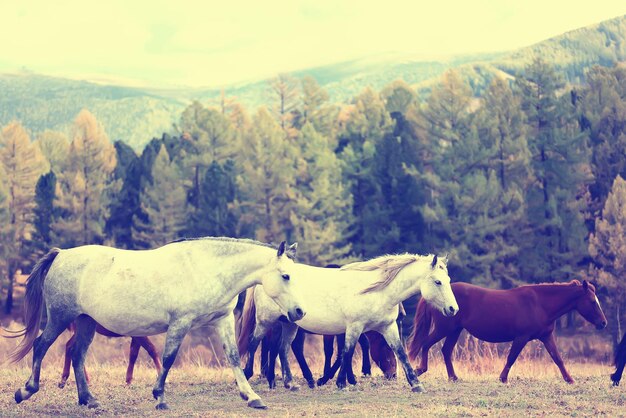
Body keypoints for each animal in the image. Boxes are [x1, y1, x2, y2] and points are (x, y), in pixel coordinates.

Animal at [7, 237, 304, 410]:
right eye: (286, 275)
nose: (299, 311)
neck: (207, 269)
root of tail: (61, 254)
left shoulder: (222, 321)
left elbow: (233, 357)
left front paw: (251, 397)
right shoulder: (180, 323)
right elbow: (169, 358)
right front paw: (159, 397)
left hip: (86, 322)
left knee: (77, 354)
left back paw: (88, 400)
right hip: (60, 317)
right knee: (40, 346)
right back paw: (26, 390)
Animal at [236, 253, 456, 394]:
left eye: (447, 279)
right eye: (437, 281)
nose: (453, 309)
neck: (378, 291)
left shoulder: (388, 328)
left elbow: (400, 352)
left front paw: (416, 384)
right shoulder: (354, 327)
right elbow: (347, 351)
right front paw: (342, 382)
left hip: (290, 324)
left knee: (282, 348)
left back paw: (289, 383)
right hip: (266, 321)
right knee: (255, 343)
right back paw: (249, 376)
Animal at [408, 280, 608, 384]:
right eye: (592, 301)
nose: (603, 323)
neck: (540, 304)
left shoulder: (546, 336)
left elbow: (557, 358)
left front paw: (569, 379)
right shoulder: (521, 337)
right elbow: (511, 358)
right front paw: (502, 378)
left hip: (454, 330)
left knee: (446, 351)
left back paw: (453, 377)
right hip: (444, 329)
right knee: (427, 344)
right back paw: (420, 370)